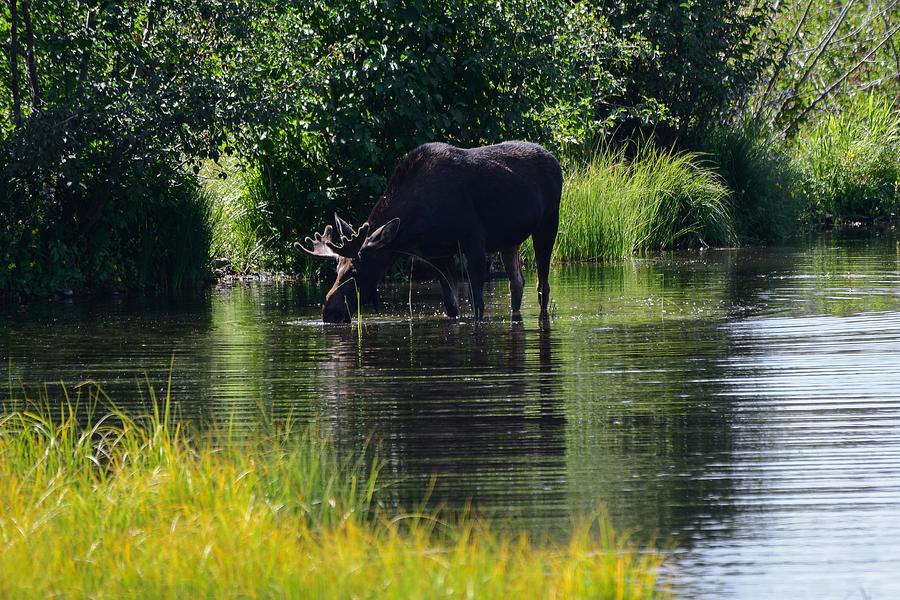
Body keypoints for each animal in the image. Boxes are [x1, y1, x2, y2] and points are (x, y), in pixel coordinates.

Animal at [296, 141, 564, 324]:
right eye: (336, 268)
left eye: (354, 270)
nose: (330, 311)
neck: (417, 226)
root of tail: (555, 161)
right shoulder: (437, 252)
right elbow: (451, 306)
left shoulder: (474, 240)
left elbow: (477, 303)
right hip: (509, 240)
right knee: (517, 282)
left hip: (548, 222)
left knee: (542, 286)